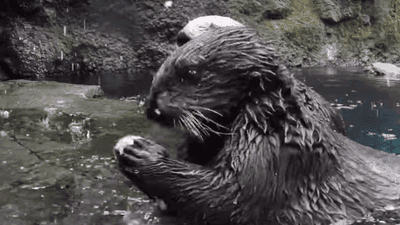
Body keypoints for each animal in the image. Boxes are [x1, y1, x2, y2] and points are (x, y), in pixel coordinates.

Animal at [113, 26, 400, 225]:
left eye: (191, 72)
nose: (152, 107)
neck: (279, 124)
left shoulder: (275, 157)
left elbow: (225, 197)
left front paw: (138, 151)